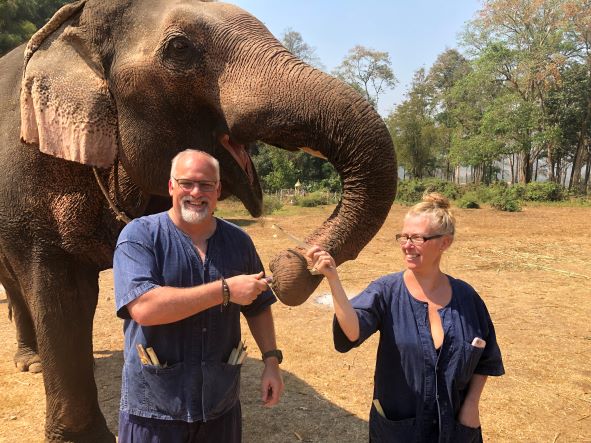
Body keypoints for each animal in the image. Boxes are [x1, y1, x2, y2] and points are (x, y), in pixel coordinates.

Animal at [0, 0, 398, 442]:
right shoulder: (29, 186)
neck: (79, 21)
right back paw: (32, 362)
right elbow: (64, 297)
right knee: (15, 285)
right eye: (180, 49)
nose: (288, 264)